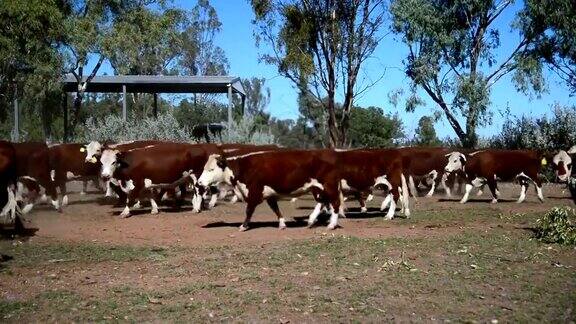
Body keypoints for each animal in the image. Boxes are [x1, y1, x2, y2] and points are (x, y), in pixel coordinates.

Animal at [198, 149, 342, 230]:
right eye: (204, 168)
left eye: (211, 169)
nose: (199, 182)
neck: (244, 168)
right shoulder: (269, 195)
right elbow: (275, 209)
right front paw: (282, 224)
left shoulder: (254, 192)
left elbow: (249, 210)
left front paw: (243, 226)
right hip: (316, 188)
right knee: (322, 202)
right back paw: (311, 221)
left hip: (329, 186)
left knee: (335, 203)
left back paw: (331, 224)